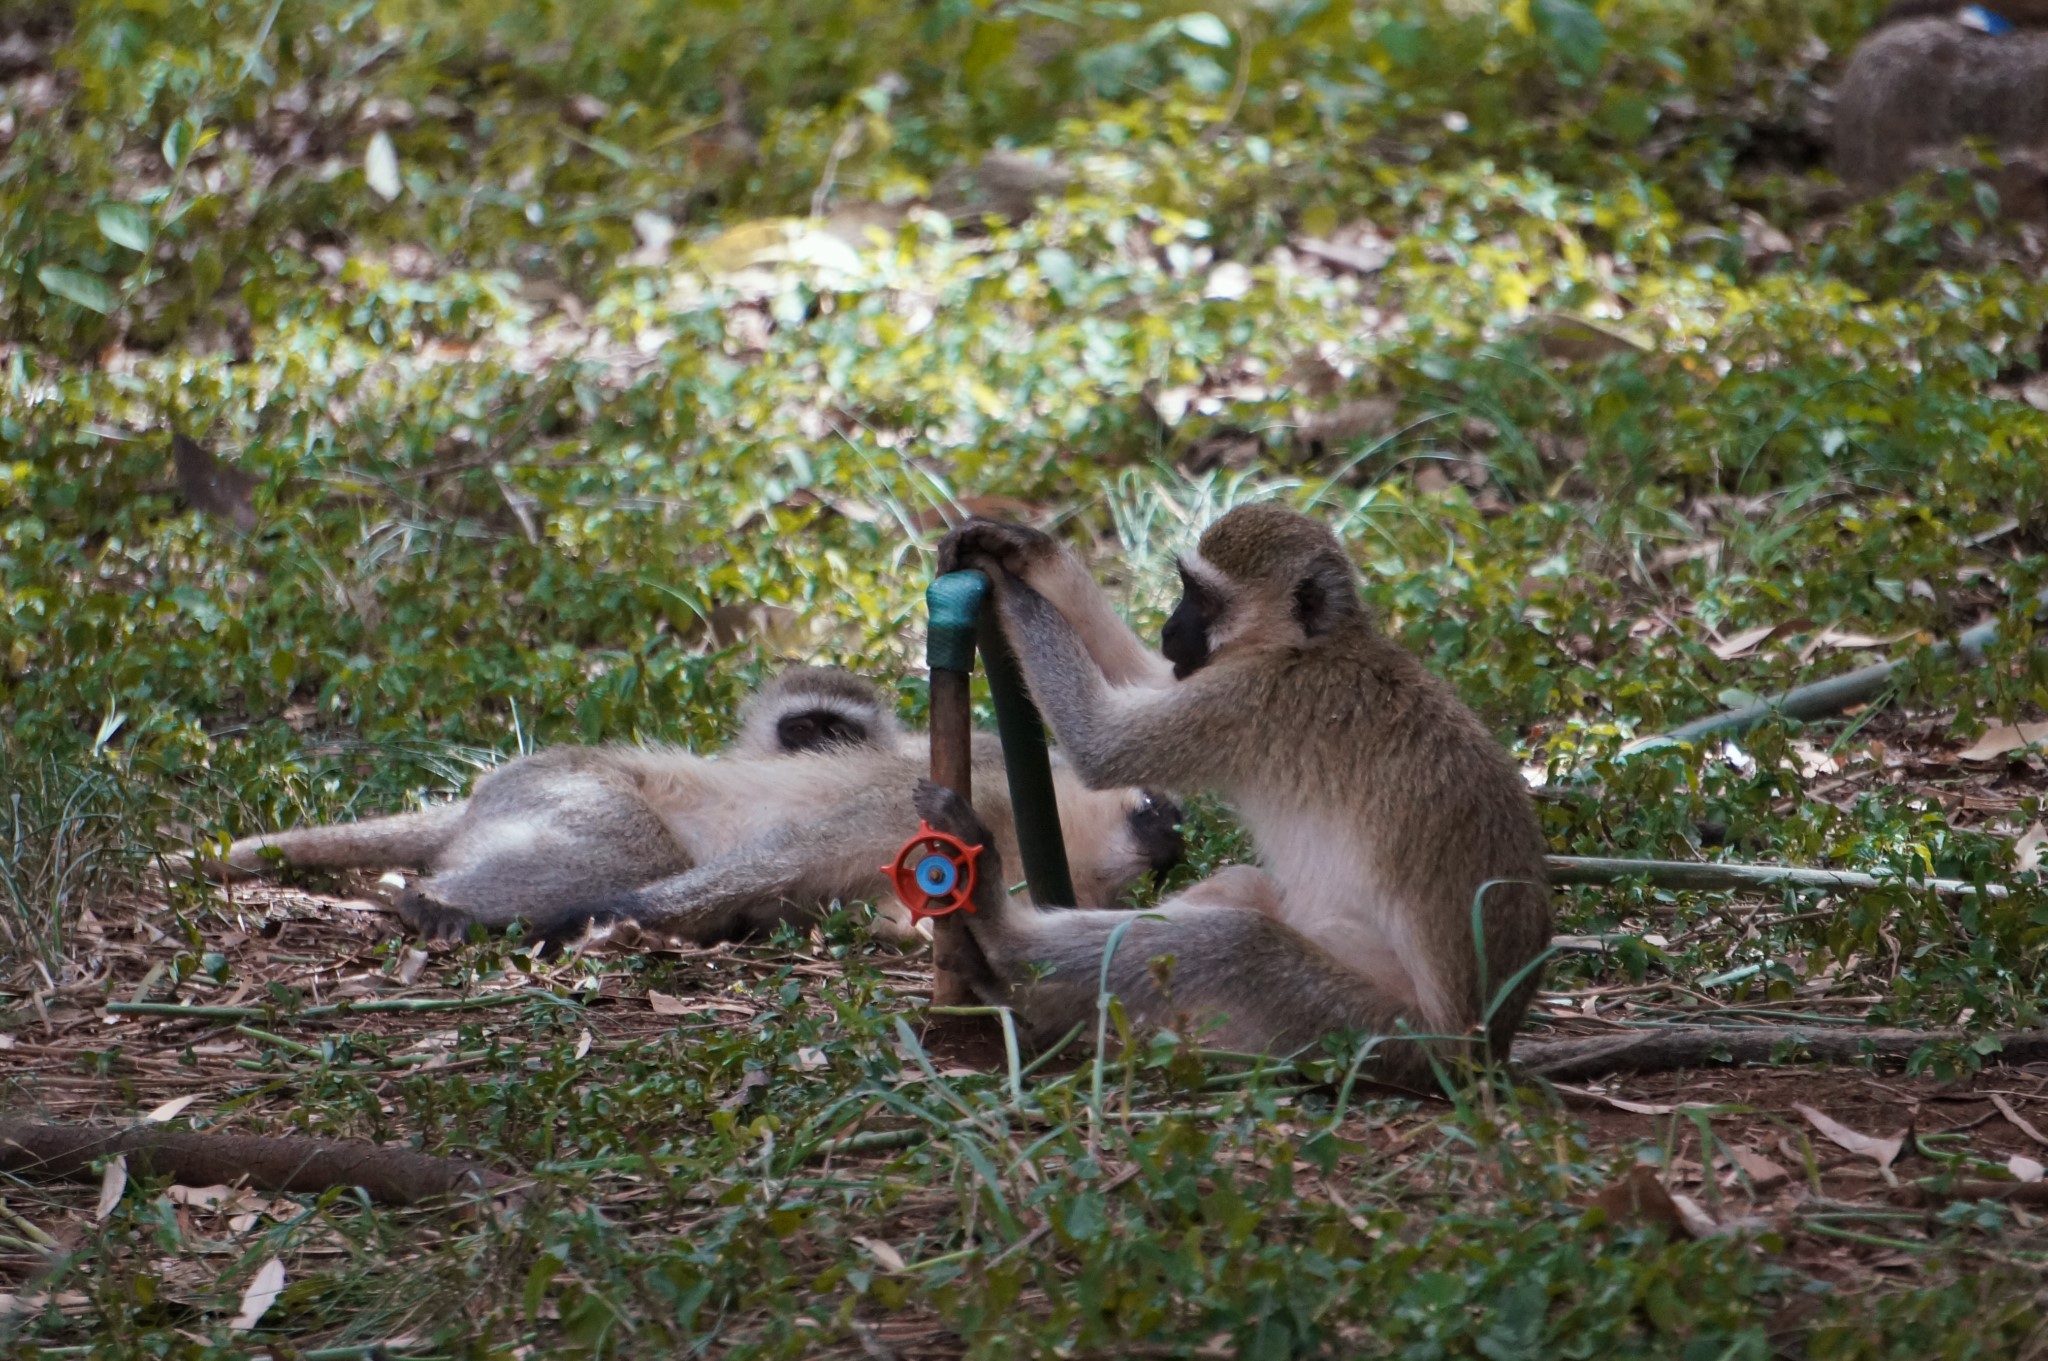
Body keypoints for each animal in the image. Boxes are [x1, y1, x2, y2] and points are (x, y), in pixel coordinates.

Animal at [195, 667, 1187, 945]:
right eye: (1156, 810)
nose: (1175, 829)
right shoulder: (949, 783)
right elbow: (784, 852)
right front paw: (609, 920)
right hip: (574, 788)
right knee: (635, 851)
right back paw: (432, 902)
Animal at [929, 503, 1548, 1088]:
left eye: (1203, 598)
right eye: (1186, 586)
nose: (1168, 631)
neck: (1307, 646)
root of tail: (1481, 1050)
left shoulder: (1253, 699)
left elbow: (1102, 741)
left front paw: (1003, 582)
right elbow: (1145, 678)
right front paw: (1028, 551)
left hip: (1376, 1034)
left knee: (1241, 945)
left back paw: (1004, 938)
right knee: (1241, 888)